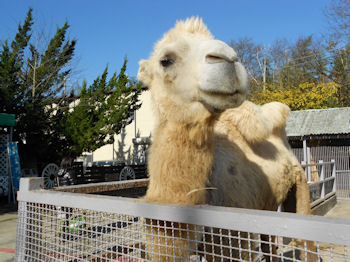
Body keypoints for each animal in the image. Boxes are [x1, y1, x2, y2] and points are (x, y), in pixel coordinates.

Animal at [137, 17, 314, 260]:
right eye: (165, 60)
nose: (229, 58)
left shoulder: (233, 240)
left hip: (300, 184)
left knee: (304, 242)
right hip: (267, 204)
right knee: (269, 243)